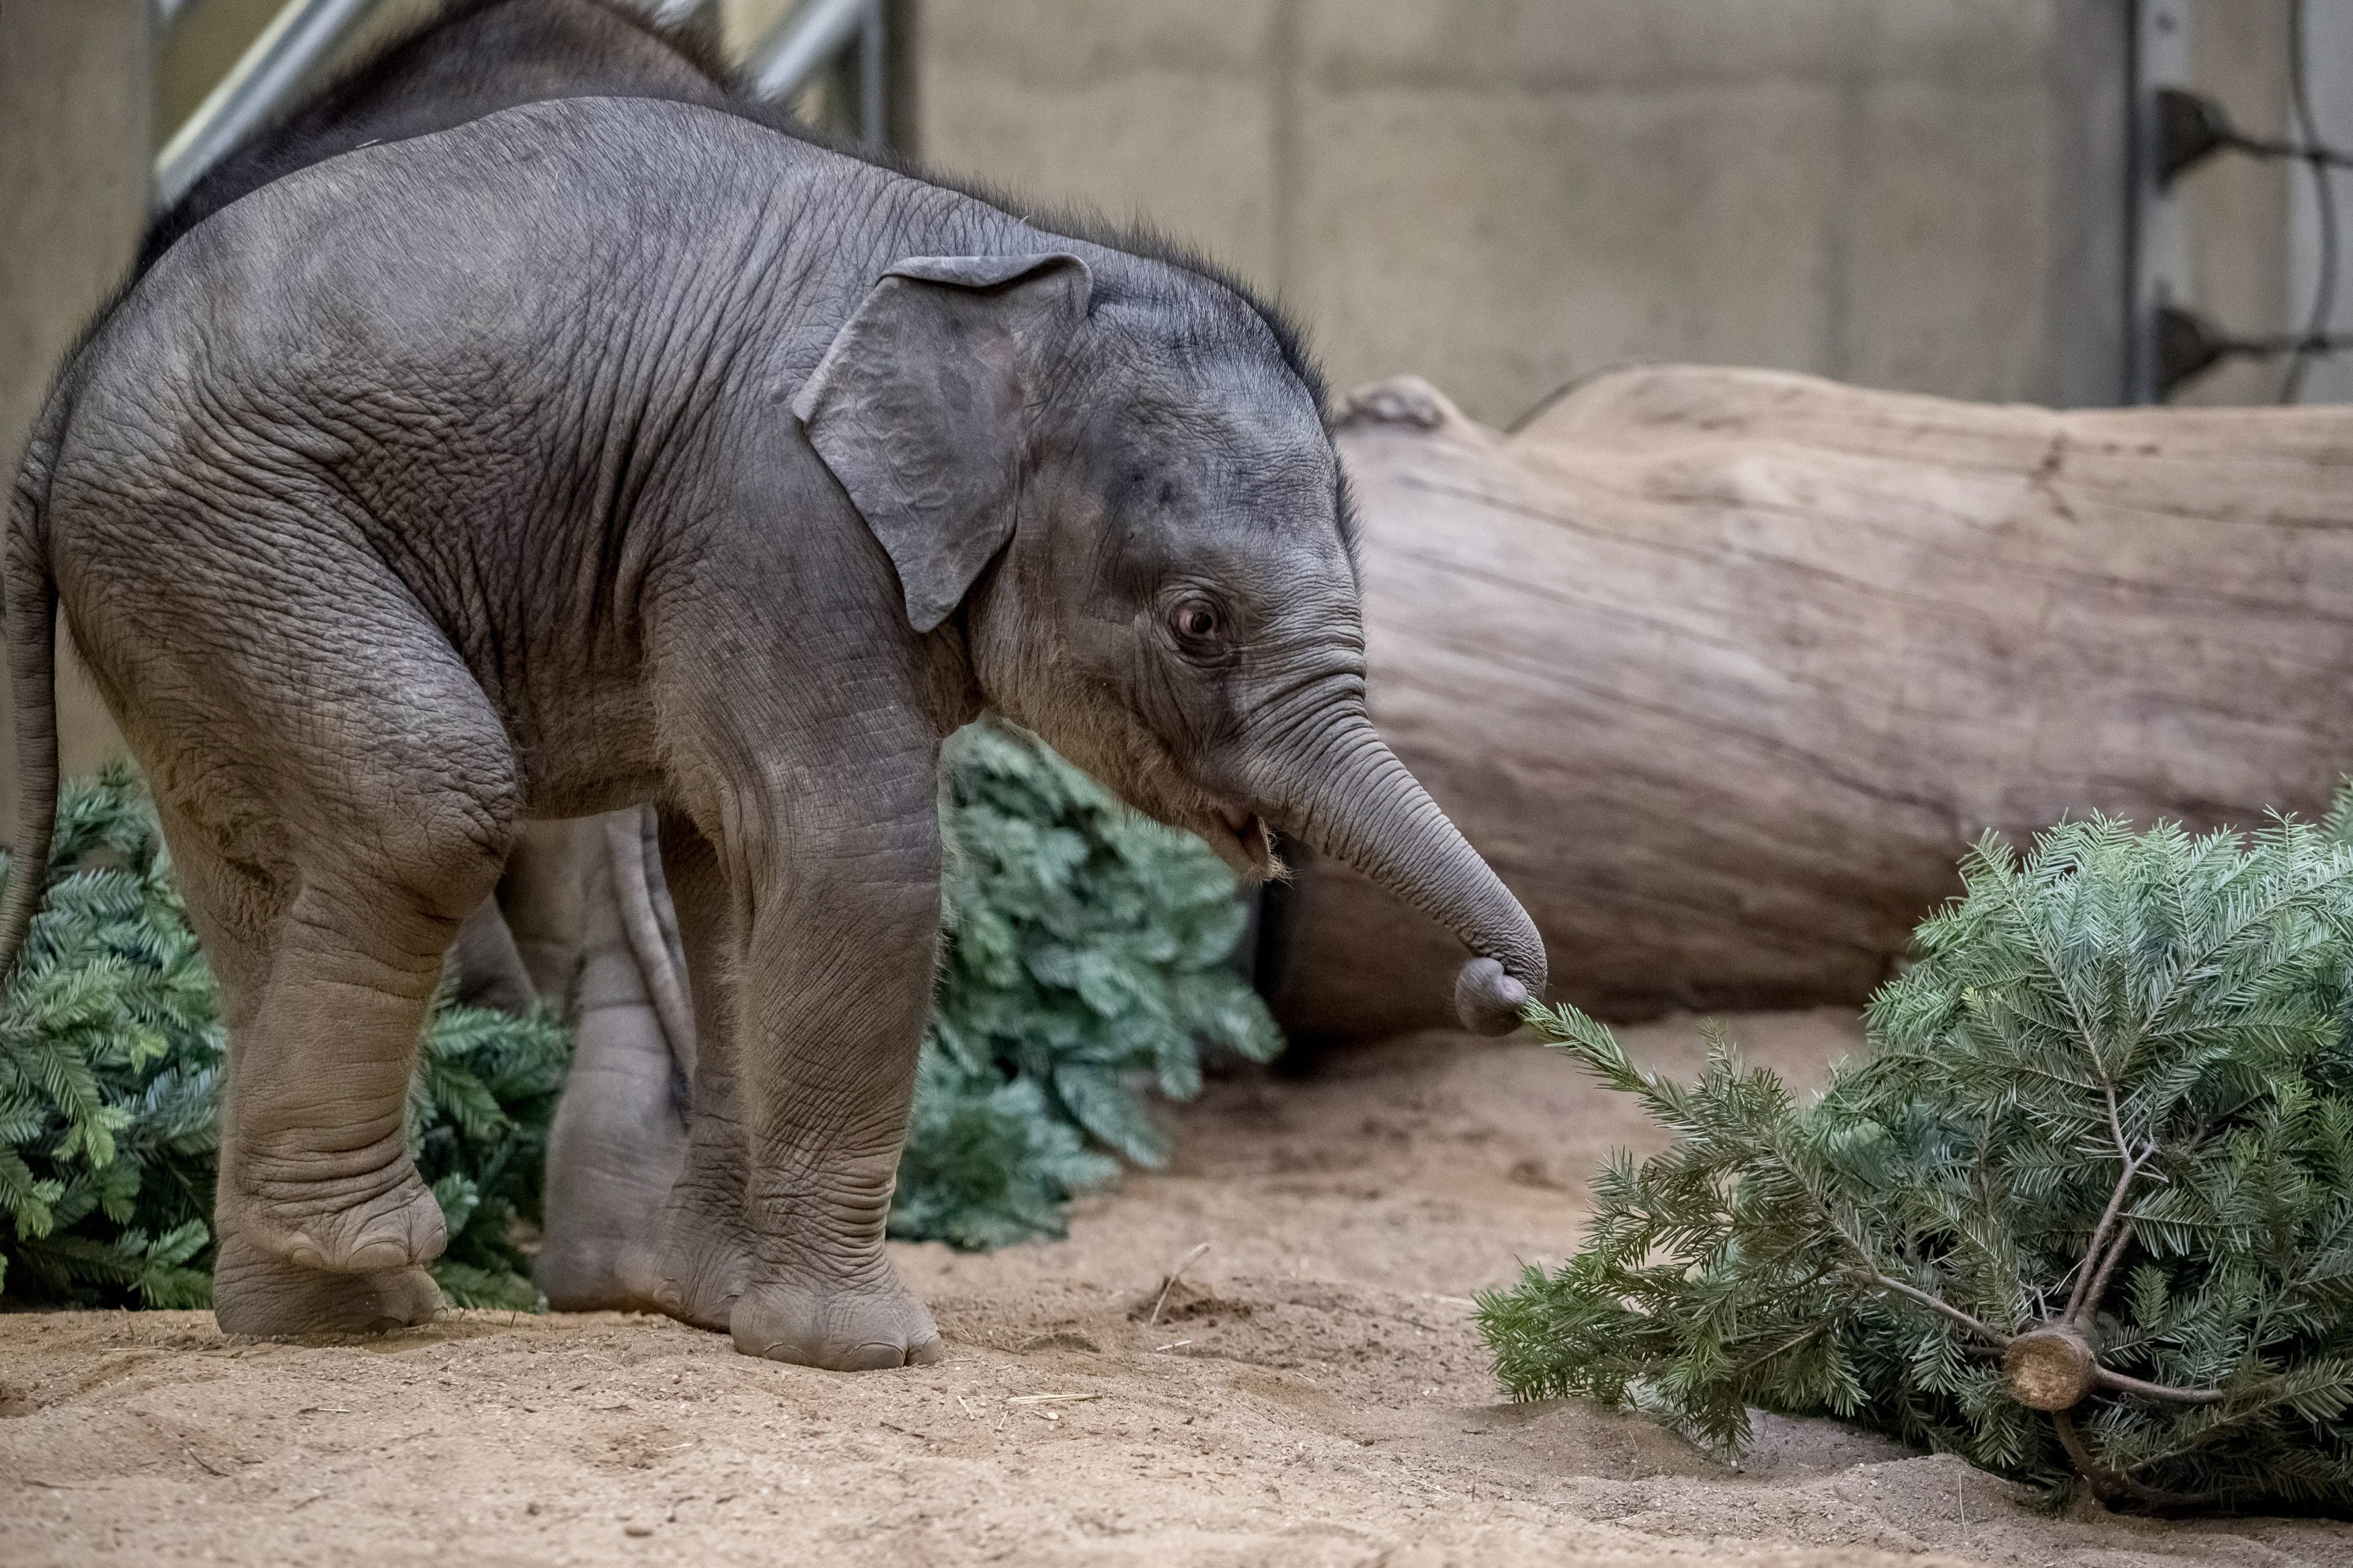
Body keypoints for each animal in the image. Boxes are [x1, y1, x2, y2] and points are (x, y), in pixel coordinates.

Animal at [9, 101, 1553, 1372]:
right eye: (1197, 620)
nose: (1499, 989)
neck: (1011, 261)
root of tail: (79, 364)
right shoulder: (775, 508)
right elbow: (854, 853)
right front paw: (863, 1348)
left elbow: (729, 864)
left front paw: (718, 1311)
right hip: (229, 529)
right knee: (423, 801)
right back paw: (377, 1255)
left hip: (181, 577)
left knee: (256, 867)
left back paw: (323, 1319)